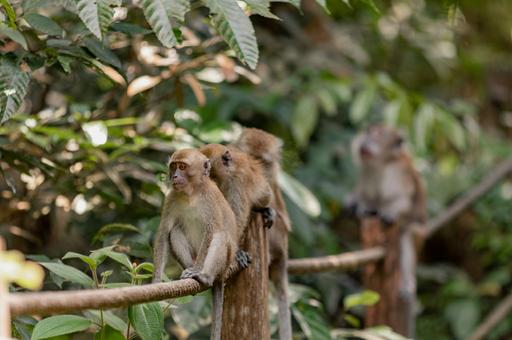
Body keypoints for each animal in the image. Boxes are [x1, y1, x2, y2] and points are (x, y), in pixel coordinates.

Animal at [153, 149, 239, 340]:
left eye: (183, 167)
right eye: (174, 166)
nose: (175, 176)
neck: (191, 194)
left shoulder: (210, 198)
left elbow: (211, 231)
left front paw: (197, 269)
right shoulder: (171, 197)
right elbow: (163, 234)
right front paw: (155, 281)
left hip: (224, 263)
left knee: (220, 236)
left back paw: (204, 275)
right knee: (175, 231)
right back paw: (190, 272)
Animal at [346, 125, 426, 338]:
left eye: (379, 135)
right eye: (368, 131)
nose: (365, 142)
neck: (382, 163)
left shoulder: (399, 172)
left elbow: (401, 200)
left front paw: (388, 211)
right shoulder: (367, 170)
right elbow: (364, 196)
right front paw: (358, 206)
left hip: (416, 233)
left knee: (407, 238)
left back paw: (408, 283)